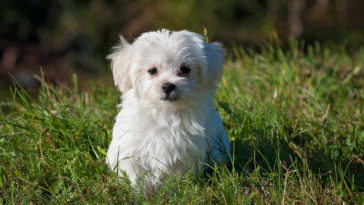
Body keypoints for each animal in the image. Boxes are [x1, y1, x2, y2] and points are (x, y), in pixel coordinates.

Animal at [105, 28, 230, 191]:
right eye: (152, 70)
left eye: (185, 69)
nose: (168, 86)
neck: (165, 113)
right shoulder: (131, 150)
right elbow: (135, 176)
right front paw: (138, 193)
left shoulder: (184, 153)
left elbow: (175, 177)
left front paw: (172, 191)